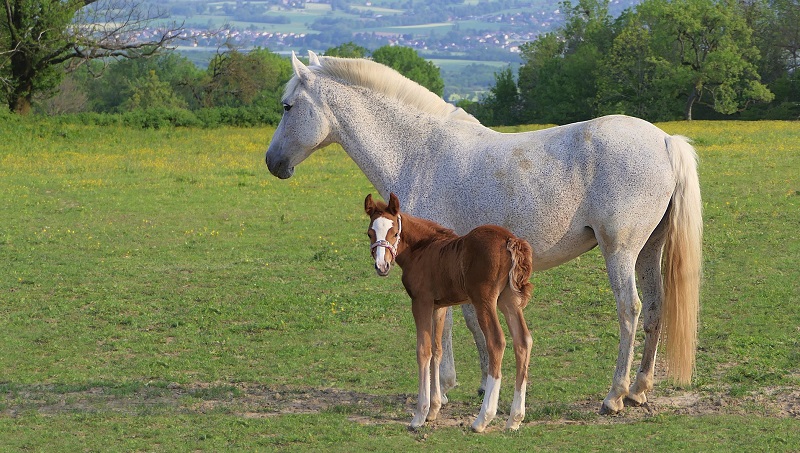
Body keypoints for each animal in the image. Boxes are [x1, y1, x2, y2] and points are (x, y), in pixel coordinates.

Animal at [268, 51, 700, 414]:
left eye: (288, 106)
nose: (273, 162)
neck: (418, 152)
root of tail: (665, 140)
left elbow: (444, 326)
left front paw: (441, 390)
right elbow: (471, 320)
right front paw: (480, 383)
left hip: (620, 251)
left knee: (630, 309)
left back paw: (614, 396)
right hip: (649, 250)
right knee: (656, 308)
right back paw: (640, 389)